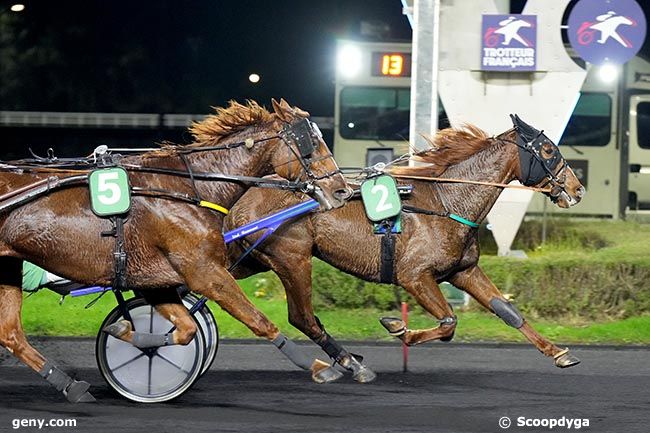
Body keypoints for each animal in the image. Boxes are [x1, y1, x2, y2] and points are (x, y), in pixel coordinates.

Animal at [0, 98, 350, 402]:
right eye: (309, 141)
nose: (342, 190)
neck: (188, 189)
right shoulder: (205, 272)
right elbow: (259, 321)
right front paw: (319, 366)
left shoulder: (158, 279)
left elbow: (187, 329)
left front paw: (132, 336)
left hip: (8, 268)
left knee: (11, 333)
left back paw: (70, 386)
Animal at [225, 116, 584, 380]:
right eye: (548, 150)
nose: (577, 189)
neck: (446, 203)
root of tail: (244, 197)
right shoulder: (415, 276)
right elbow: (448, 323)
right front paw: (399, 328)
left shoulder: (463, 271)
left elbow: (507, 311)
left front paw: (559, 353)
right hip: (293, 258)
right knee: (301, 316)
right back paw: (348, 363)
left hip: (255, 260)